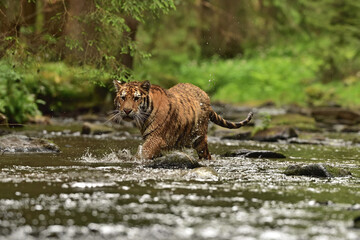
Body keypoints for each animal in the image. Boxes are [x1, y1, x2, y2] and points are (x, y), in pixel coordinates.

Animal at [112, 79, 253, 160]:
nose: (127, 110)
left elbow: (143, 153)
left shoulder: (155, 138)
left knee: (206, 154)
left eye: (136, 98)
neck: (144, 117)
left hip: (200, 139)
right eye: (123, 97)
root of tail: (206, 96)